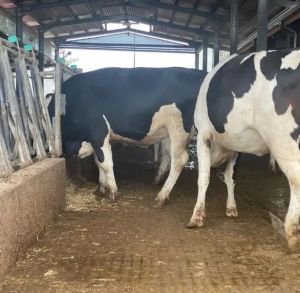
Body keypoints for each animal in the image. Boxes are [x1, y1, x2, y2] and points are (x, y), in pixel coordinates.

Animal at [61, 66, 206, 201]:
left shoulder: (98, 132)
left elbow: (106, 163)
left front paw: (112, 191)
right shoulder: (95, 139)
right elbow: (98, 162)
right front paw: (102, 187)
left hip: (179, 128)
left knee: (179, 159)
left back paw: (162, 195)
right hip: (168, 131)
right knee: (166, 155)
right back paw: (156, 180)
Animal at [188, 50, 300, 251]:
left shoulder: (203, 134)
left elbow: (204, 178)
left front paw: (197, 216)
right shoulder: (236, 147)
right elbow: (230, 177)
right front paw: (231, 207)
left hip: (281, 138)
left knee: (295, 179)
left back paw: (293, 232)